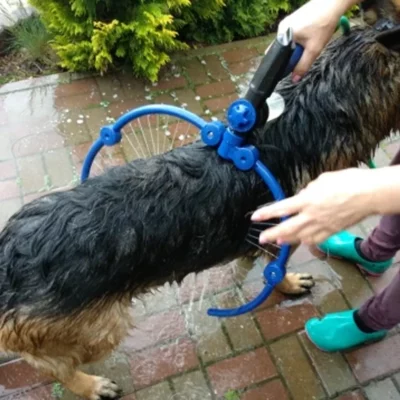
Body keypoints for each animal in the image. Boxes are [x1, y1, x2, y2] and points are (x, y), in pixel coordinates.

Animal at [0, 2, 400, 396]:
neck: (304, 118)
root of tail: (8, 263)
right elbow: (276, 266)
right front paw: (286, 284)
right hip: (97, 326)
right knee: (52, 364)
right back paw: (90, 384)